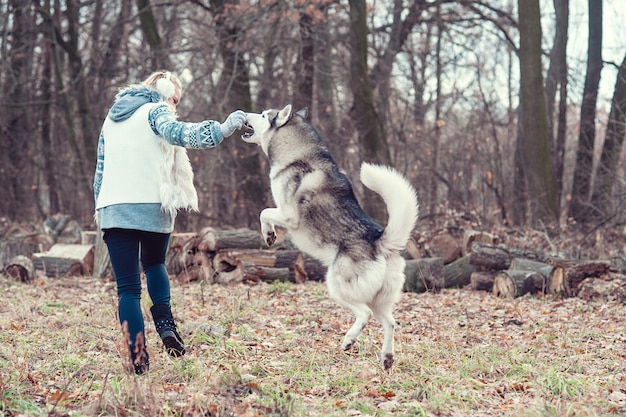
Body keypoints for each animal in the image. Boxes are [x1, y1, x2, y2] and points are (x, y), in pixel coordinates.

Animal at [241, 103, 416, 368]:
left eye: (263, 115)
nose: (243, 115)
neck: (297, 155)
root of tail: (380, 241)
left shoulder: (288, 215)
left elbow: (264, 213)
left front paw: (269, 235)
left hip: (336, 285)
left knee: (364, 314)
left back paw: (349, 340)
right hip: (379, 299)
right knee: (391, 323)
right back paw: (387, 357)